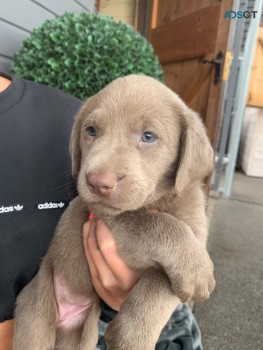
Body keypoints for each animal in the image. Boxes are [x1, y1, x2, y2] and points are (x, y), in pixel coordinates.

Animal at [13, 75, 217, 350]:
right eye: (91, 131)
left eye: (148, 136)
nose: (98, 182)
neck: (158, 201)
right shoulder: (112, 223)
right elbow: (159, 225)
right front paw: (197, 269)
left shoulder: (196, 229)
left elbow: (161, 285)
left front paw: (129, 336)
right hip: (36, 316)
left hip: (84, 333)